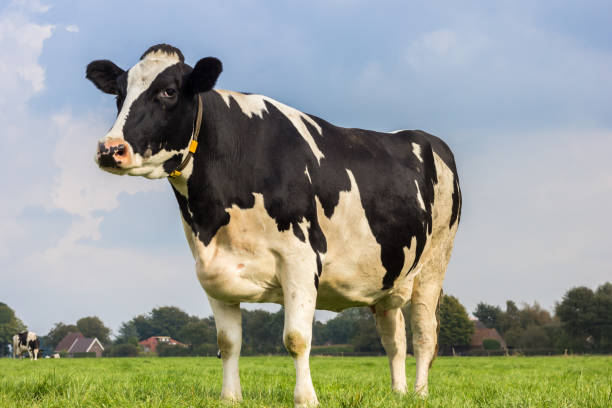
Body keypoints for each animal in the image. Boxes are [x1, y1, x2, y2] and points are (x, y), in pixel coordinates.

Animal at [85, 43, 460, 406]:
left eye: (169, 91)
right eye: (120, 93)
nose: (110, 149)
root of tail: (426, 137)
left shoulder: (301, 260)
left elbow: (296, 338)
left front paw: (306, 399)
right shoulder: (212, 270)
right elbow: (228, 342)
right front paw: (230, 397)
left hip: (435, 263)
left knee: (424, 334)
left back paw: (420, 393)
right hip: (387, 277)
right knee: (393, 338)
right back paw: (398, 393)